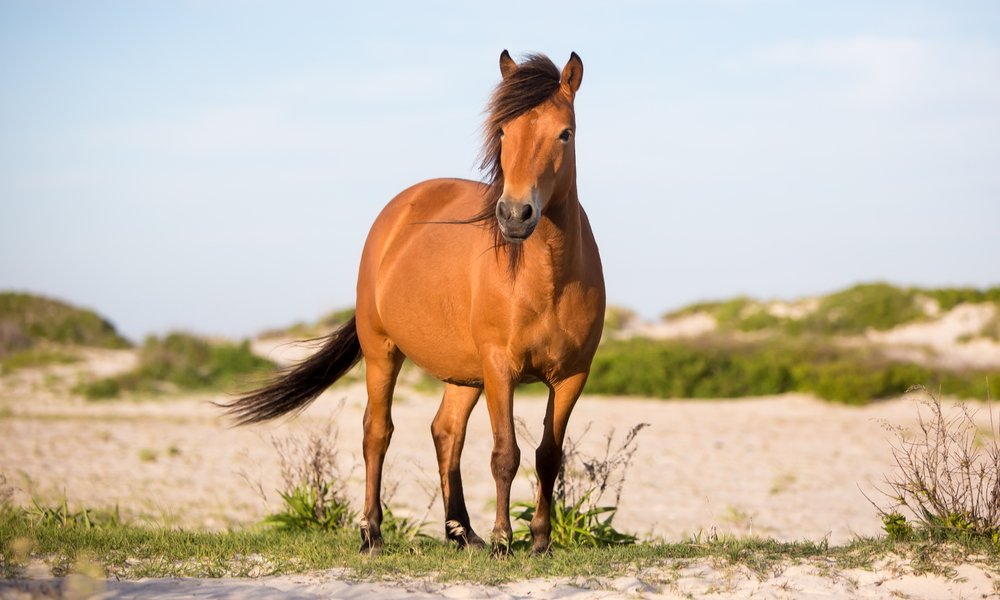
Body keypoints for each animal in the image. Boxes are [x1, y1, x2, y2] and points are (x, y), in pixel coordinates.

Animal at [223, 49, 604, 556]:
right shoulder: (500, 368)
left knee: (446, 432)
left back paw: (461, 532)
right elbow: (506, 454)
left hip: (465, 373)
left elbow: (548, 456)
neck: (547, 279)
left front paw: (539, 541)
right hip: (383, 350)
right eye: (504, 131)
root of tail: (398, 210)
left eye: (565, 132)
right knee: (377, 432)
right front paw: (504, 541)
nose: (515, 214)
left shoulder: (571, 377)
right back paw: (372, 532)